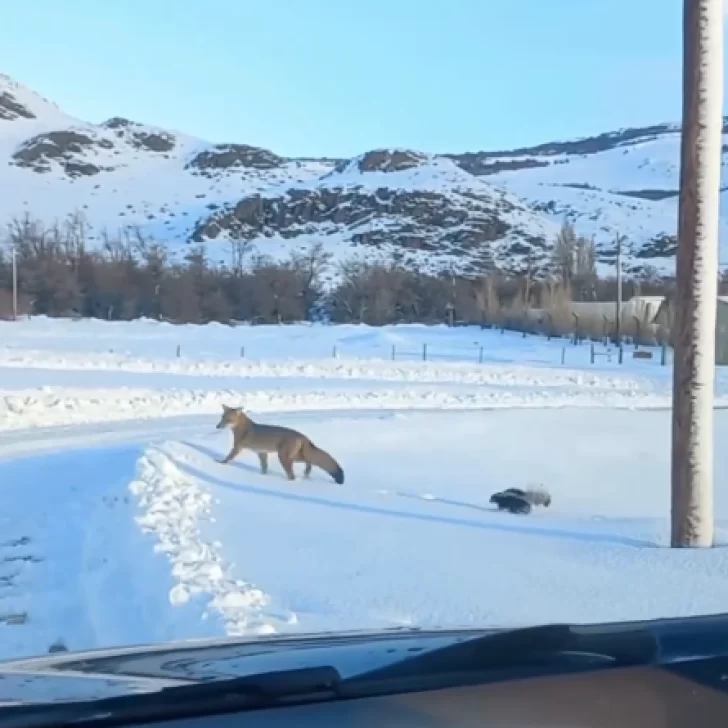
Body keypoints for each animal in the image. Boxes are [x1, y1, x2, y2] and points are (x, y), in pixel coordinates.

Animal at [215, 400, 346, 486]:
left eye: (228, 419)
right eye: (222, 417)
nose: (217, 426)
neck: (244, 427)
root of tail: (303, 436)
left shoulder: (237, 447)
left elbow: (228, 458)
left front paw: (221, 462)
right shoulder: (262, 453)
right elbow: (264, 468)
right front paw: (263, 477)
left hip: (283, 457)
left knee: (293, 475)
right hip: (293, 457)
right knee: (309, 462)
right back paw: (306, 473)